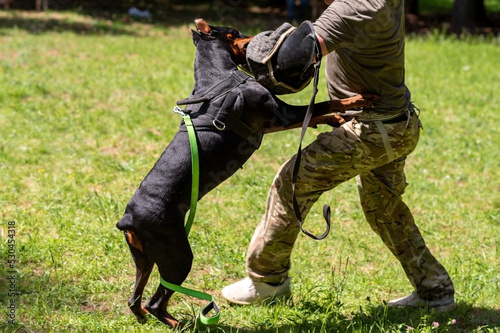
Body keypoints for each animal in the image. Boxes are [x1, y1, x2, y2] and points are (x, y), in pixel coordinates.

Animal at [117, 18, 376, 326]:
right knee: (157, 300)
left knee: (135, 299)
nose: (257, 36)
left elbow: (318, 112)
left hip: (144, 258)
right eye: (236, 32)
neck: (218, 75)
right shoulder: (281, 115)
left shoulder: (275, 121)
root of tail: (128, 219)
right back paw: (183, 324)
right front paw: (358, 100)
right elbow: (323, 105)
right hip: (178, 255)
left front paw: (337, 117)